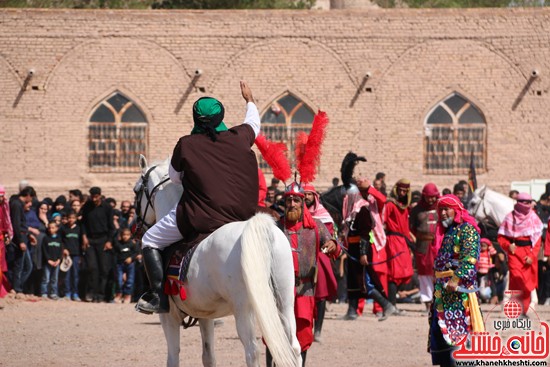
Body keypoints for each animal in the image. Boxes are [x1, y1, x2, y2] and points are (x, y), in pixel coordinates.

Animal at [136, 156, 304, 367]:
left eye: (136, 191)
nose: (137, 226)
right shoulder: (204, 315)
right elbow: (209, 356)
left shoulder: (169, 316)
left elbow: (173, 357)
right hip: (284, 303)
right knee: (294, 347)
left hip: (245, 309)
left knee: (252, 351)